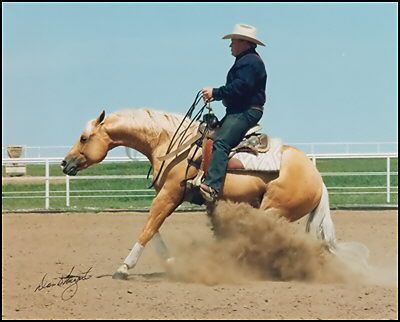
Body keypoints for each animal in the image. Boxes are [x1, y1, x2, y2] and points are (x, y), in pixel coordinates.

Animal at [61, 108, 338, 280]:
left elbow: (148, 229)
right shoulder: (167, 197)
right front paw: (171, 263)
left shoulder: (170, 195)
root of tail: (316, 177)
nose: (64, 163)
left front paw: (123, 268)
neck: (172, 144)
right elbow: (154, 230)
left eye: (83, 138)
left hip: (271, 209)